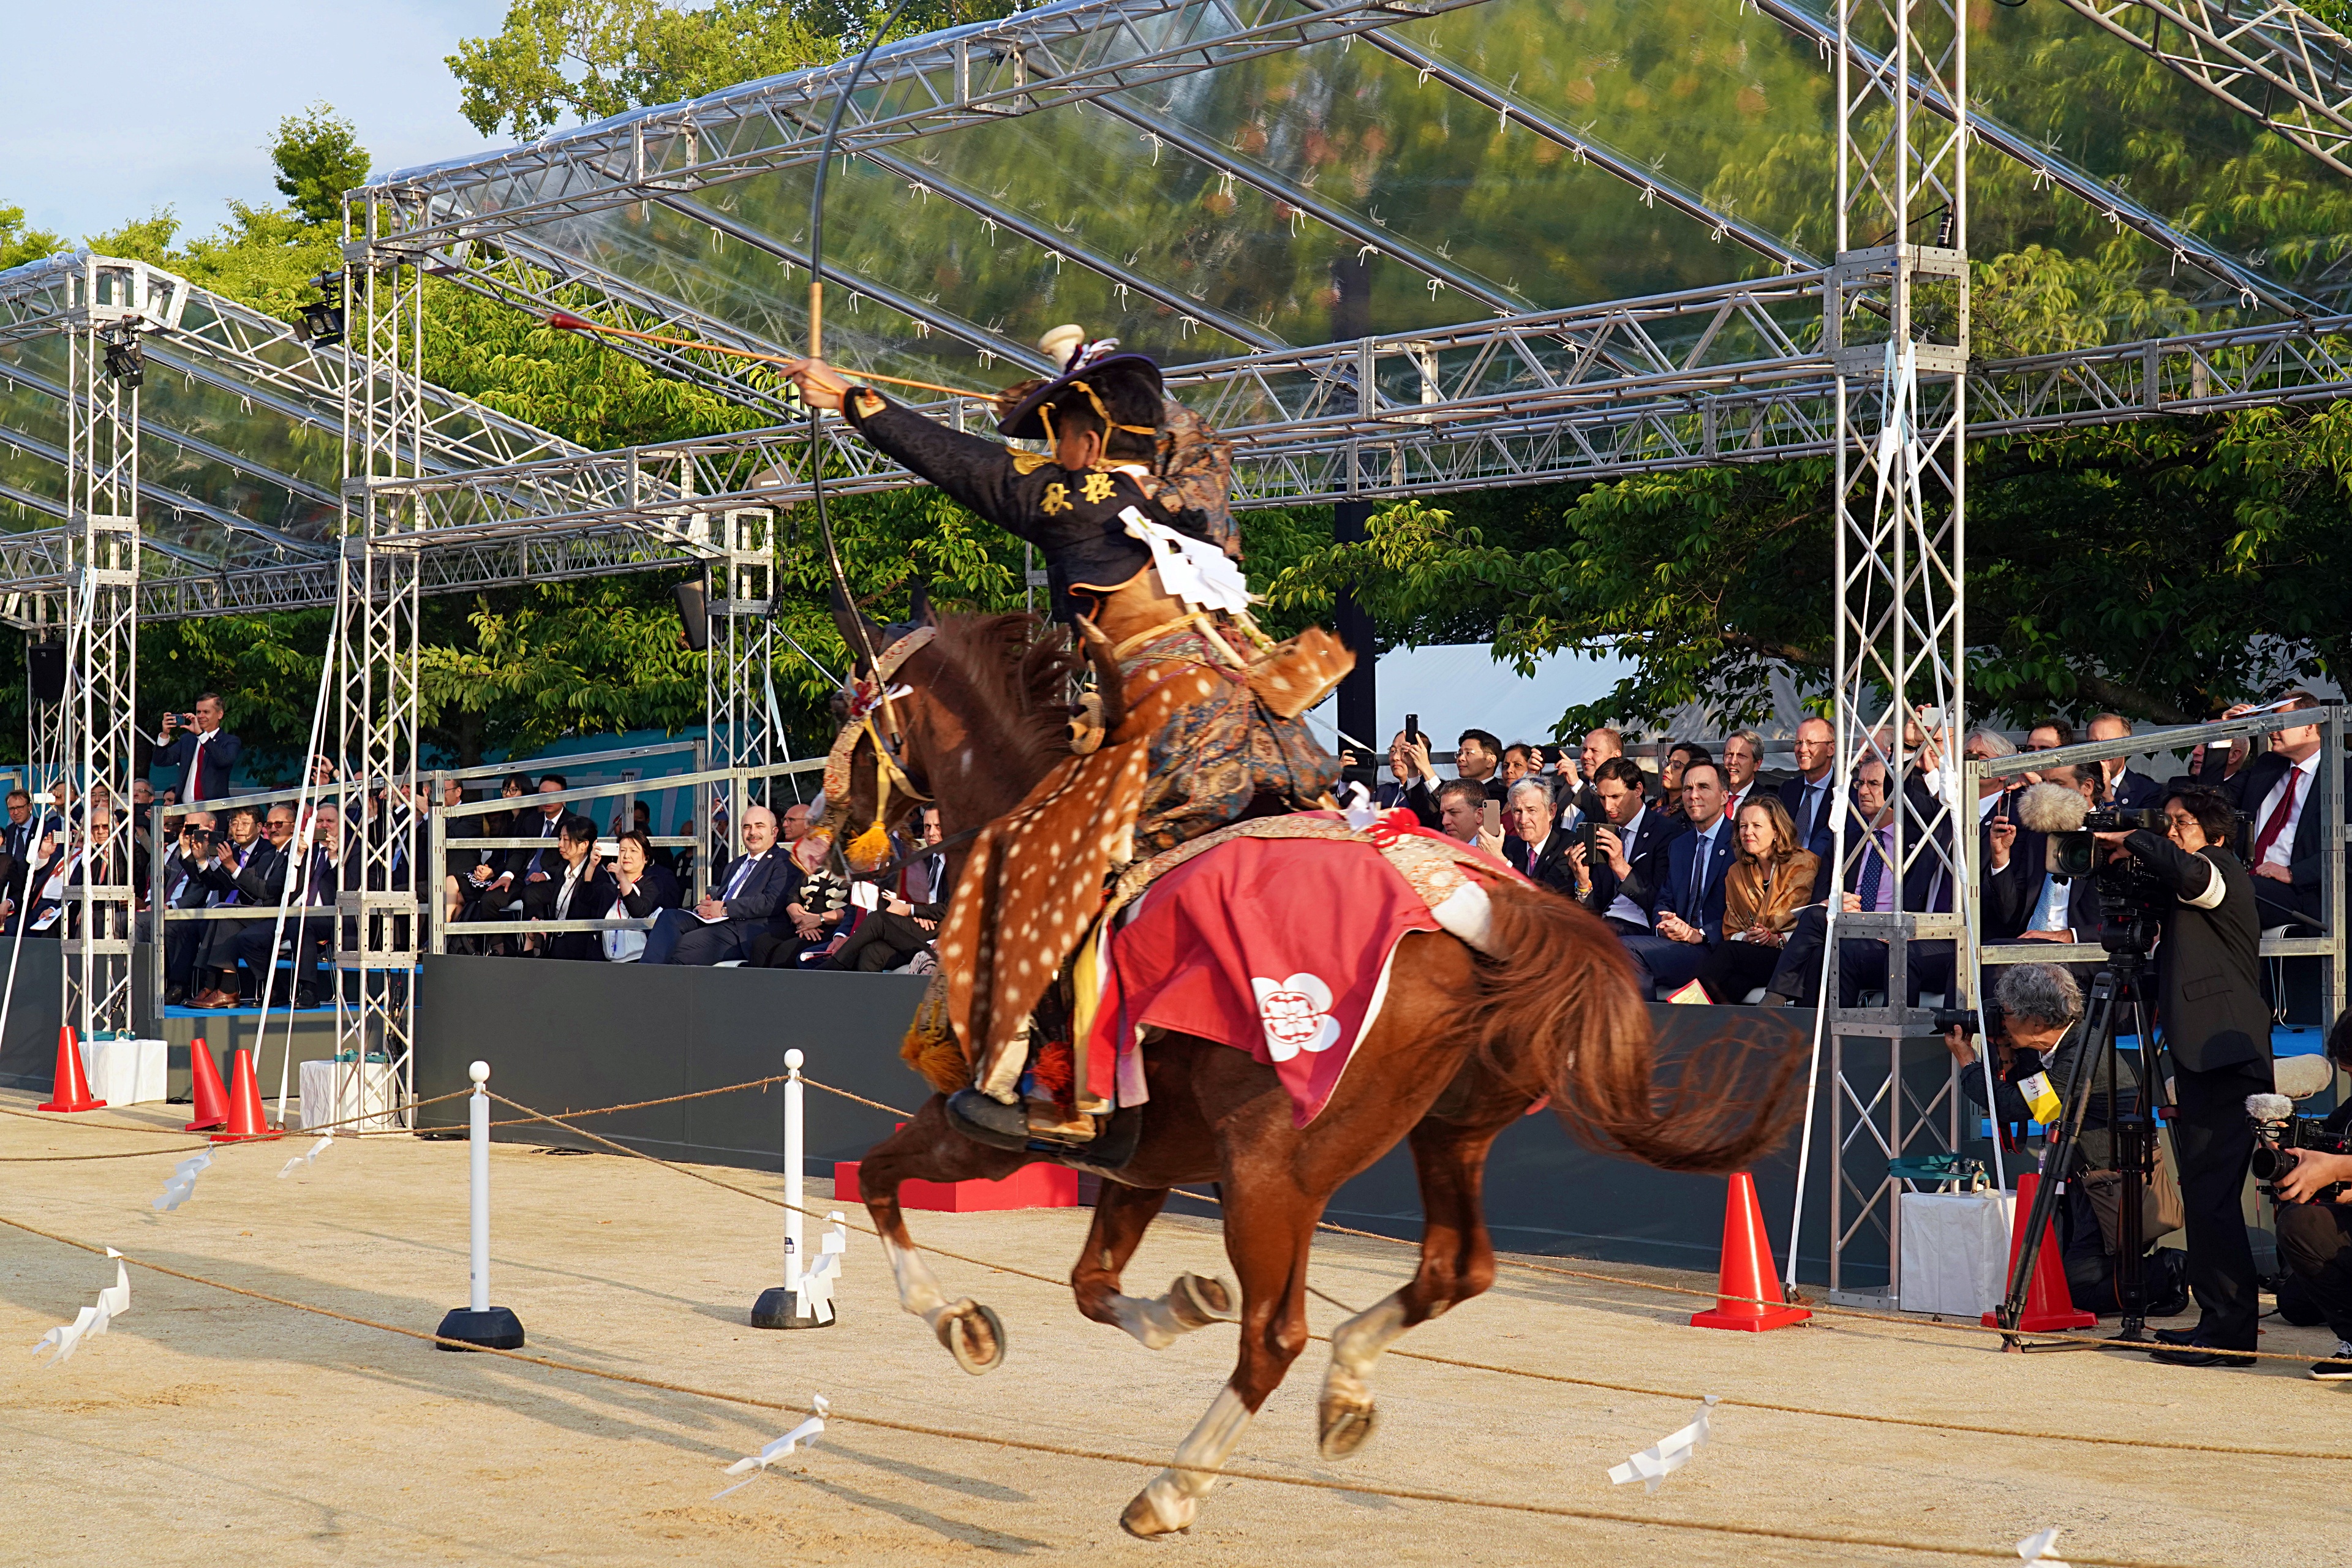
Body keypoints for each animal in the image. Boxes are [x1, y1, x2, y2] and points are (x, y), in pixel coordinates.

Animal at [813, 606, 1796, 1542]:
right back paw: (1345, 1388)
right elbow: (1091, 1285)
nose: (830, 831)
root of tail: (1479, 911)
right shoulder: (1144, 1155)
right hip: (1446, 1131)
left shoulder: (984, 1126)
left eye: (849, 707)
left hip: (1269, 1170)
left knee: (1275, 1335)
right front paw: (1178, 1305)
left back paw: (1172, 1491)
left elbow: (882, 1181)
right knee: (1455, 1269)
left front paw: (961, 1322)